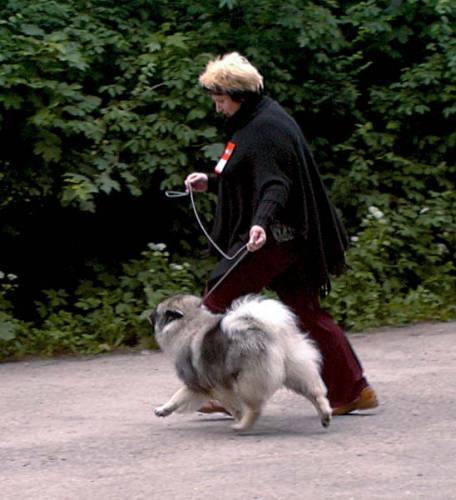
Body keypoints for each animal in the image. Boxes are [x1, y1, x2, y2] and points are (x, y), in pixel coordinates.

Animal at [150, 294, 331, 431]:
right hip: (295, 371)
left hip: (247, 382)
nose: (149, 315)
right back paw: (325, 415)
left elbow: (233, 407)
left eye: (158, 312)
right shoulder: (199, 385)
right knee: (315, 393)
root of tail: (267, 330)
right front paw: (163, 410)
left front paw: (238, 417)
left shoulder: (212, 386)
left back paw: (242, 426)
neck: (189, 323)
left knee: (255, 408)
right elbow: (177, 397)